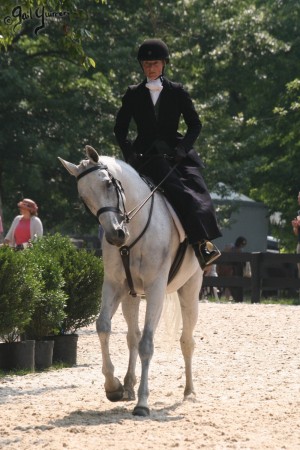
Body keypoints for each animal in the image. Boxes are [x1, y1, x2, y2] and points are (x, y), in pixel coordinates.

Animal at [58, 146, 203, 416]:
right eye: (84, 197)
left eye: (107, 184)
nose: (116, 235)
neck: (135, 229)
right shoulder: (114, 285)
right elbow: (103, 327)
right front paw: (113, 386)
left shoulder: (155, 289)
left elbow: (147, 343)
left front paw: (143, 403)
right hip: (130, 296)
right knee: (132, 336)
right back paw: (128, 385)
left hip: (190, 289)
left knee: (186, 340)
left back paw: (189, 393)